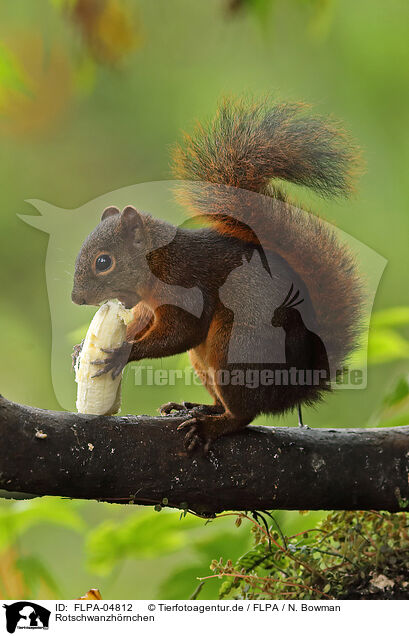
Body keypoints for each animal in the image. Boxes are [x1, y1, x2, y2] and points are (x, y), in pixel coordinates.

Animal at [71, 95, 362, 452]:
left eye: (103, 262)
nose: (76, 298)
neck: (158, 260)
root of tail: (294, 385)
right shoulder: (146, 306)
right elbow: (141, 323)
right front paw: (81, 350)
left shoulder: (186, 282)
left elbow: (183, 330)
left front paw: (122, 353)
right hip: (205, 361)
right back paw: (198, 407)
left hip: (236, 350)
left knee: (243, 414)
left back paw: (211, 425)